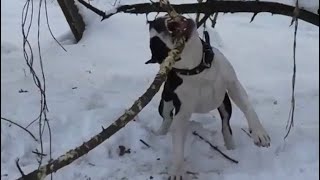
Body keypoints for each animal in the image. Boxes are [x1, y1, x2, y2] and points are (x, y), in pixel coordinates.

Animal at [146, 15, 272, 179]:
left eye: (157, 22)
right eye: (159, 46)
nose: (156, 23)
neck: (198, 67)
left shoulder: (233, 85)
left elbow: (248, 107)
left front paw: (259, 133)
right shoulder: (182, 112)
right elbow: (178, 144)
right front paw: (177, 170)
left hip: (224, 102)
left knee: (225, 123)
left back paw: (230, 146)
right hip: (166, 99)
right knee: (167, 117)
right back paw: (160, 134)